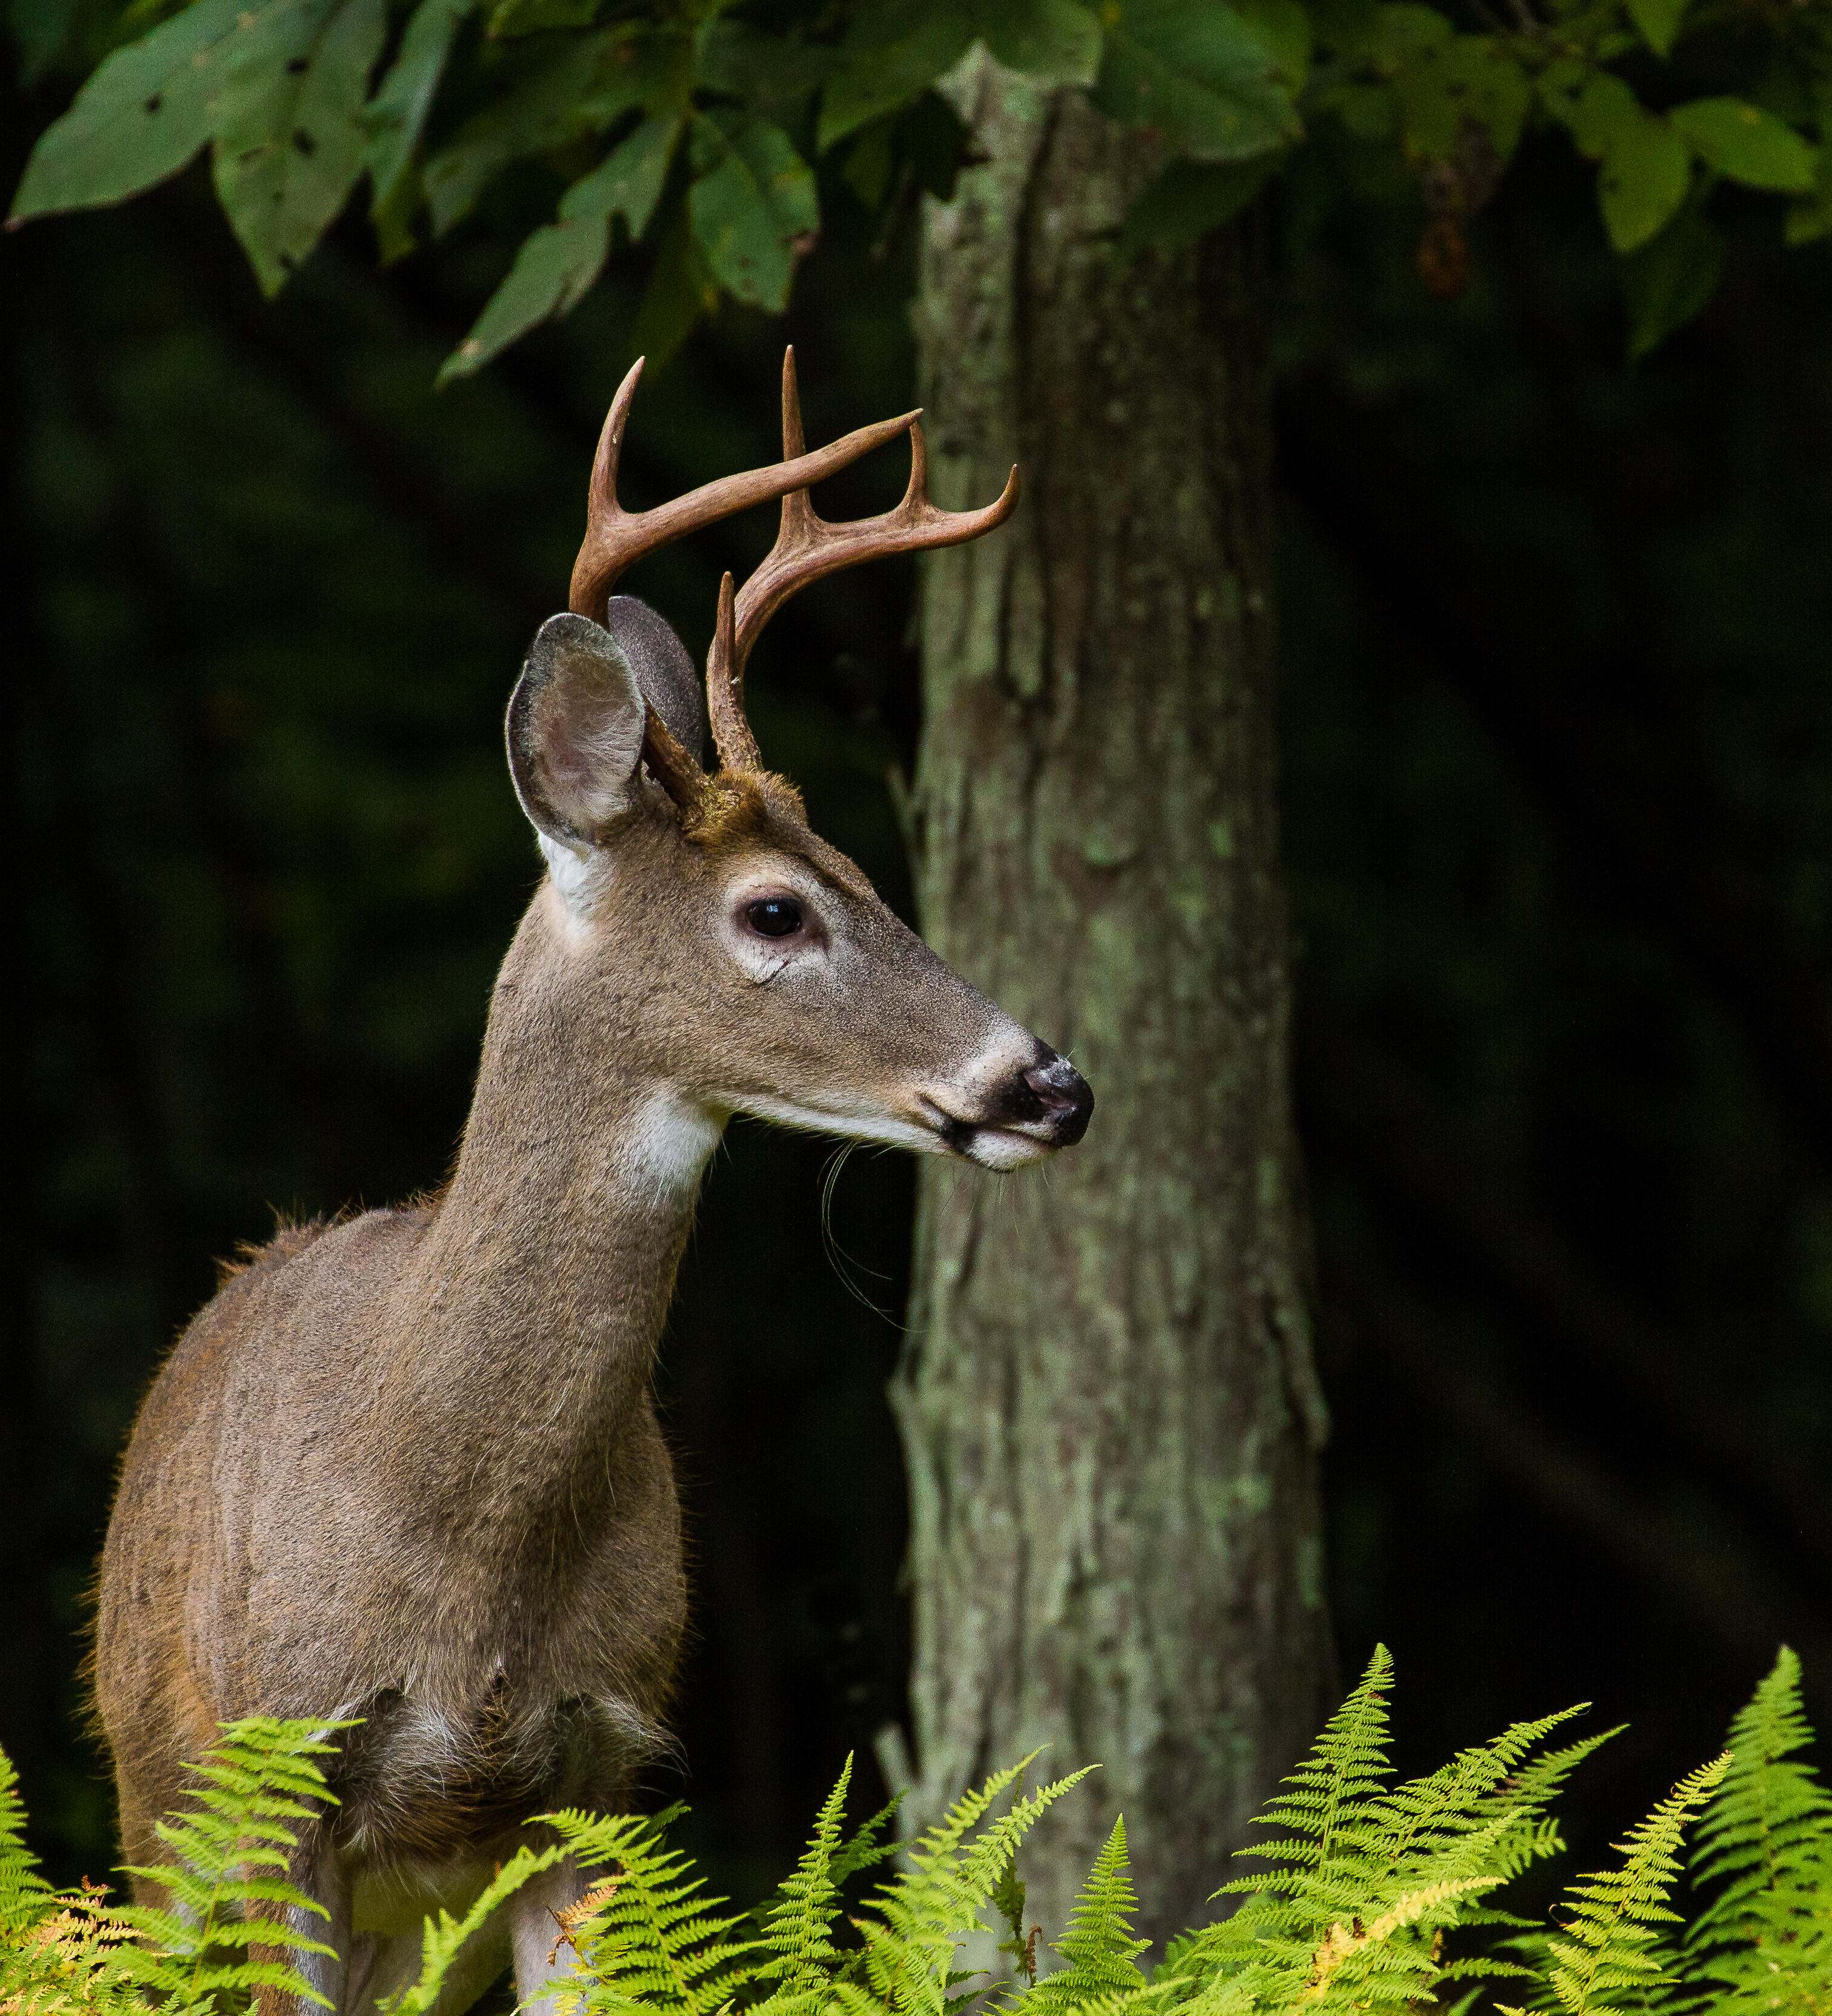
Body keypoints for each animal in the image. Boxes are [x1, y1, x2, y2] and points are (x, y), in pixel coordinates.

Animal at [91, 350, 1092, 2016]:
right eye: (775, 911)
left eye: (874, 878)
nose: (1049, 1085)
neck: (448, 1524)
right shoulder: (282, 1771)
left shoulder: (596, 1776)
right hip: (157, 1811)